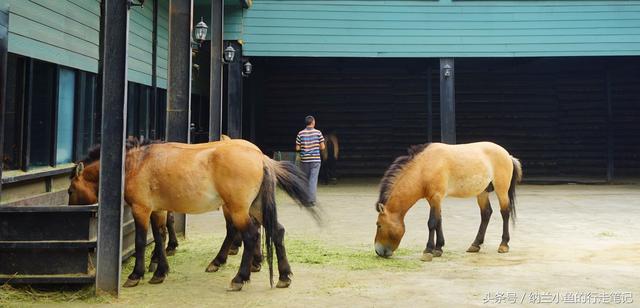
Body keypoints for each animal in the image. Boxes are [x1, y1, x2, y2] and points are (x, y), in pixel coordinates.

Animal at [68, 138, 318, 290]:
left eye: (70, 190)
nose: (73, 212)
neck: (136, 163)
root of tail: (260, 157)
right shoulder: (157, 210)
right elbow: (159, 237)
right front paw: (160, 271)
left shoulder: (141, 209)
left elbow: (140, 241)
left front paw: (136, 275)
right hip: (254, 207)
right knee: (277, 232)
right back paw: (283, 276)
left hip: (238, 209)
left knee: (250, 236)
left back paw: (239, 277)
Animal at [376, 142, 520, 260]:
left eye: (379, 225)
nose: (378, 251)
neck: (424, 167)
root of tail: (508, 155)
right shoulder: (433, 200)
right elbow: (438, 221)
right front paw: (438, 249)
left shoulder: (436, 197)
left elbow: (432, 223)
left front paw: (428, 251)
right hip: (482, 192)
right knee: (486, 213)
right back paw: (475, 245)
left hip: (501, 190)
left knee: (505, 213)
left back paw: (504, 245)